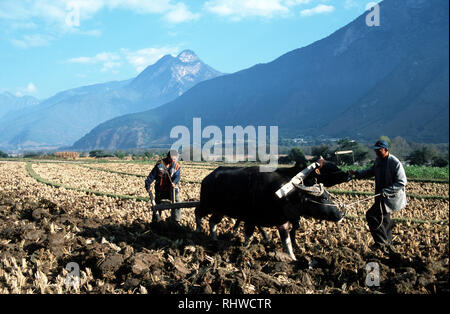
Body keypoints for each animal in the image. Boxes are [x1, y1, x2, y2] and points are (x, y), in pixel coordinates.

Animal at [195, 162, 346, 260]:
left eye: (328, 196)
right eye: (324, 198)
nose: (340, 215)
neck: (284, 196)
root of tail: (207, 178)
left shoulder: (283, 223)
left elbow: (287, 243)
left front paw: (293, 259)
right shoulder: (250, 220)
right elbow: (248, 238)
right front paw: (244, 252)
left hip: (219, 210)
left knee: (212, 221)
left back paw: (215, 240)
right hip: (207, 204)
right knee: (198, 212)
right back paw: (198, 230)